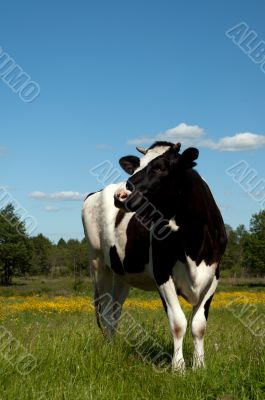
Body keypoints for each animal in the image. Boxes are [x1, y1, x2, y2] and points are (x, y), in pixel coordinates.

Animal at [81, 141, 226, 372]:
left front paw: (199, 366)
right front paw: (178, 368)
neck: (192, 240)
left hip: (122, 274)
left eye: (160, 168)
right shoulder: (162, 273)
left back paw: (113, 347)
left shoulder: (214, 276)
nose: (121, 195)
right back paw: (108, 350)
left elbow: (199, 325)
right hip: (97, 263)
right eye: (137, 167)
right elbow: (178, 323)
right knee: (105, 311)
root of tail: (99, 191)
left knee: (115, 311)